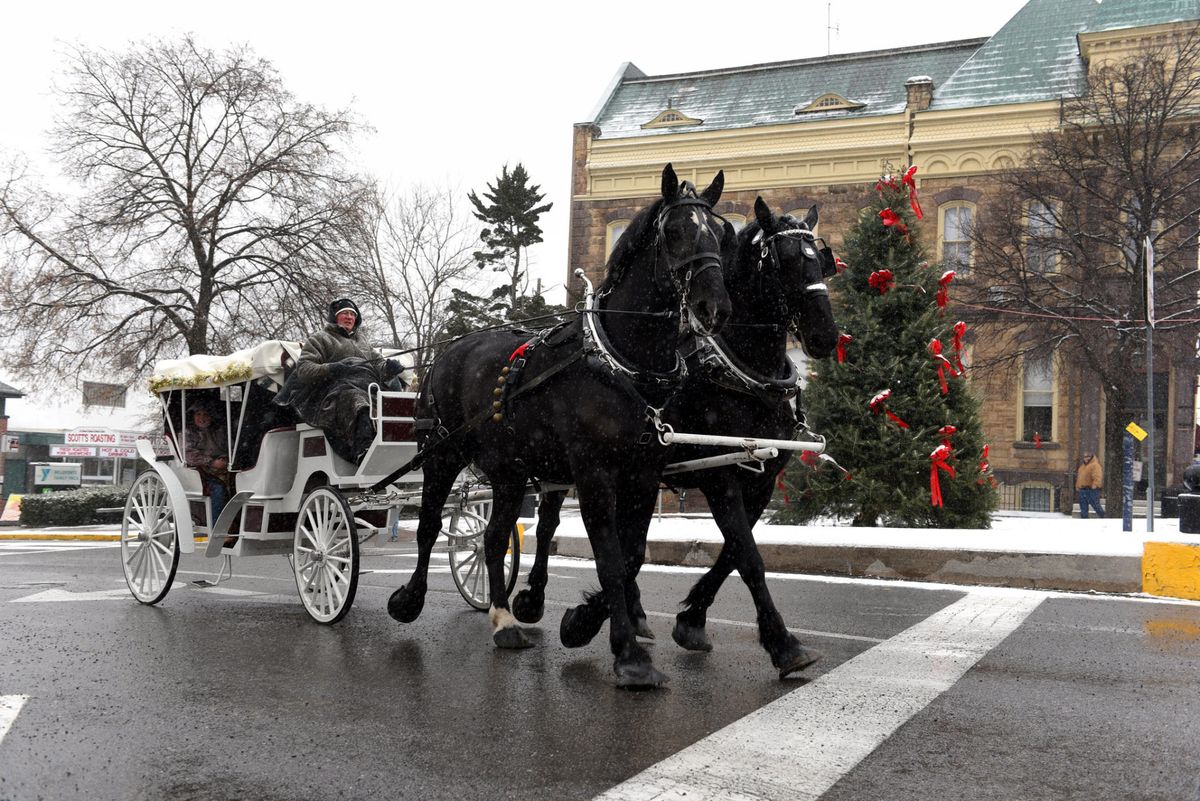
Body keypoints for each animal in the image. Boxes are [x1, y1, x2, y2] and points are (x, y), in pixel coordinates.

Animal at [388, 164, 734, 690]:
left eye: (719, 232)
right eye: (674, 232)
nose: (714, 307)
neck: (618, 363)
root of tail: (449, 351)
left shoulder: (642, 474)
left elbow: (631, 555)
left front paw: (583, 623)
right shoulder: (593, 475)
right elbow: (610, 560)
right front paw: (628, 654)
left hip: (508, 473)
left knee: (493, 538)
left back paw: (504, 620)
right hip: (443, 455)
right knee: (428, 527)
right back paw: (410, 598)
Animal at [511, 196, 840, 681]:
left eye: (821, 260)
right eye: (782, 260)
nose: (825, 335)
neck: (740, 374)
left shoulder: (760, 477)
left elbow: (733, 552)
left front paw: (691, 619)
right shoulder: (719, 474)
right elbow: (747, 556)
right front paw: (783, 643)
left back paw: (635, 614)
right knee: (549, 521)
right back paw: (534, 599)